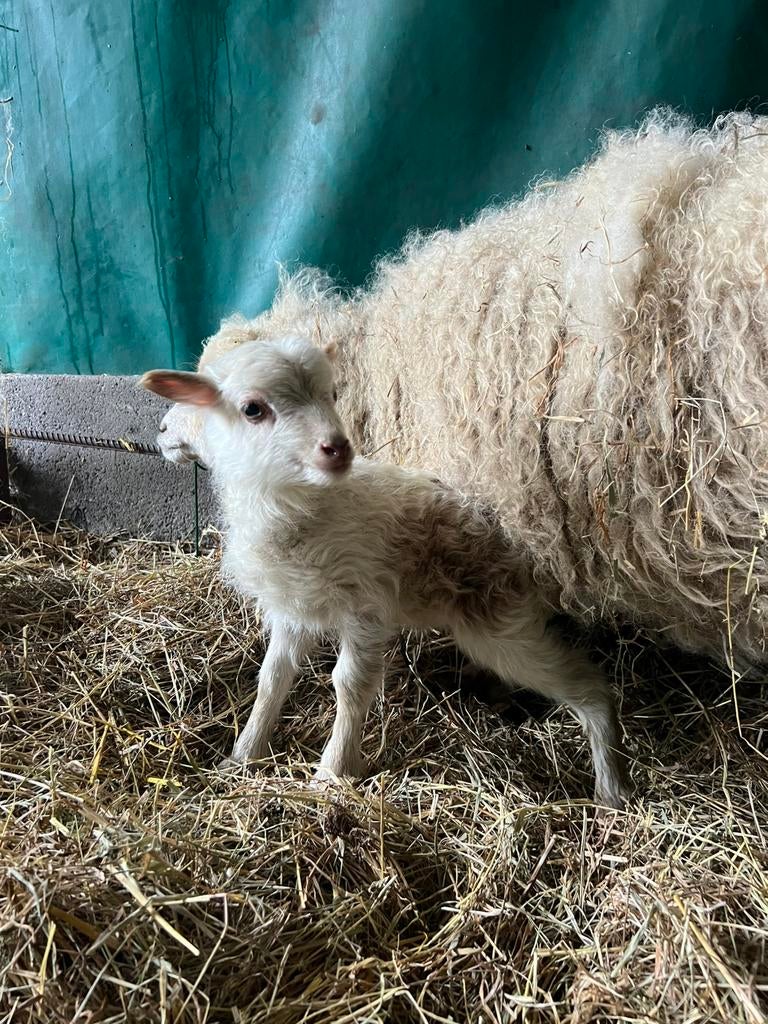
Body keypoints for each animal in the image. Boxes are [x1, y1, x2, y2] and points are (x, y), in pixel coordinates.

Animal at [143, 337, 630, 808]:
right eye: (252, 409)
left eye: (333, 395)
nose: (338, 448)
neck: (300, 508)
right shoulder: (293, 608)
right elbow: (271, 679)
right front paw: (243, 755)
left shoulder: (366, 606)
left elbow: (349, 684)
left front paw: (331, 774)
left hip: (501, 627)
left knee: (589, 685)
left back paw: (612, 787)